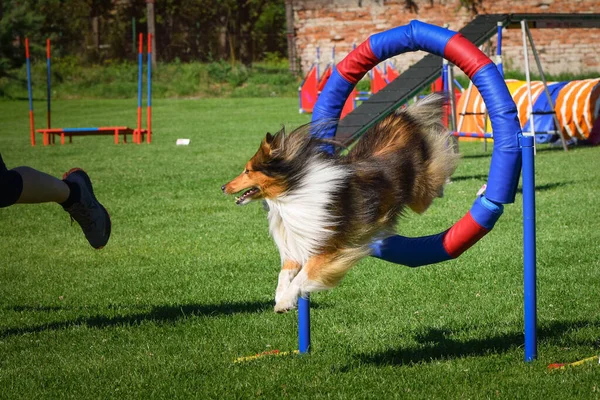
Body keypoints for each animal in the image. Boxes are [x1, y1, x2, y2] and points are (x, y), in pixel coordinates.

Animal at [221, 94, 460, 312]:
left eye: (247, 171)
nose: (223, 187)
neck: (291, 192)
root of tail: (400, 117)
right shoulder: (299, 243)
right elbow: (284, 274)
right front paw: (280, 297)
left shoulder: (328, 249)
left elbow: (302, 277)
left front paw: (286, 300)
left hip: (421, 193)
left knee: (440, 161)